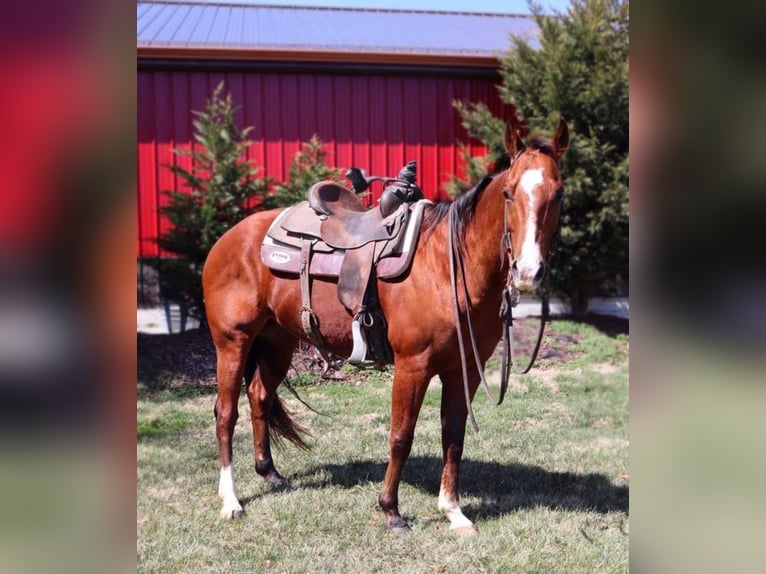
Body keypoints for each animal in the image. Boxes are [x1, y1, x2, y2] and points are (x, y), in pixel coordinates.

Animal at [201, 115, 568, 536]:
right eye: (508, 193)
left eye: (558, 194)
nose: (528, 271)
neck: (448, 266)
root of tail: (229, 239)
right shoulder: (413, 366)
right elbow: (401, 436)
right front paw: (391, 510)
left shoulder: (463, 370)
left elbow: (453, 437)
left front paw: (453, 511)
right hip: (233, 342)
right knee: (226, 413)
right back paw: (231, 500)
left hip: (277, 341)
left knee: (259, 395)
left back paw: (270, 473)